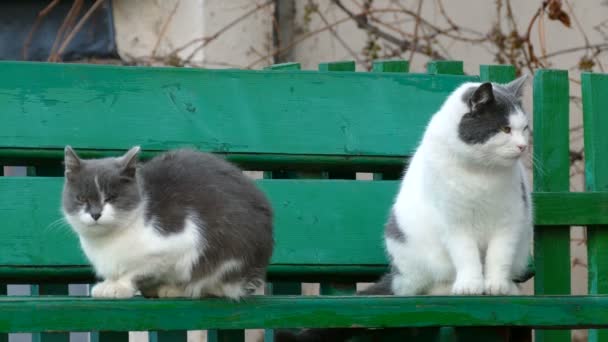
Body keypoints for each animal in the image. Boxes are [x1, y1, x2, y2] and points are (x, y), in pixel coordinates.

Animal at [61, 147, 274, 300]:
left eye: (111, 198)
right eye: (81, 199)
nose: (95, 213)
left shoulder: (182, 239)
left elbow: (137, 270)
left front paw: (118, 286)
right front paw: (109, 283)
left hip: (230, 249)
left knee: (212, 284)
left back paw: (176, 289)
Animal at [278, 75, 536, 342]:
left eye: (524, 129)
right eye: (505, 129)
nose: (522, 146)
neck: (481, 173)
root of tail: (397, 276)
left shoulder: (510, 219)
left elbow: (499, 255)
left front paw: (497, 286)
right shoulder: (454, 223)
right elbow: (466, 255)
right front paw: (470, 285)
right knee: (422, 286)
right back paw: (446, 288)